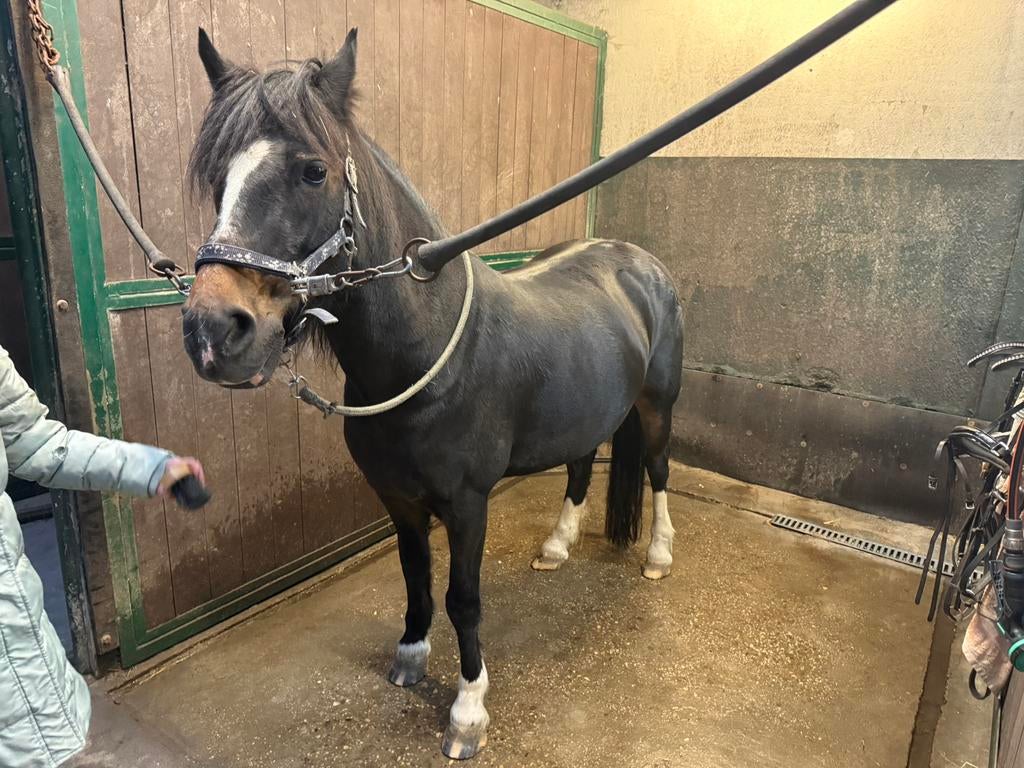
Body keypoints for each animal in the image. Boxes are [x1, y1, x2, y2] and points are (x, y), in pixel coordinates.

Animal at [181, 28, 683, 760]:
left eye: (313, 171)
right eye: (219, 178)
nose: (214, 331)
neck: (430, 351)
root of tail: (638, 262)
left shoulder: (468, 503)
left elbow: (462, 598)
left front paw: (468, 712)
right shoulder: (397, 497)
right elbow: (415, 575)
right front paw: (411, 657)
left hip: (657, 404)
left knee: (658, 468)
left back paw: (658, 556)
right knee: (581, 467)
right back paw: (557, 547)